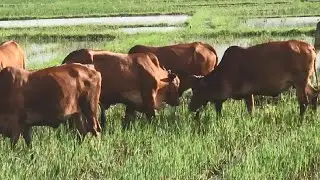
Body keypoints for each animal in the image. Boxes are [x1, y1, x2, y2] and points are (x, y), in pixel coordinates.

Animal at [189, 39, 318, 116]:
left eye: (197, 91)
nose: (190, 108)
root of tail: (310, 47)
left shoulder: (247, 94)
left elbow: (250, 111)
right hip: (304, 82)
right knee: (315, 94)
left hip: (300, 83)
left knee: (304, 102)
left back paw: (300, 121)